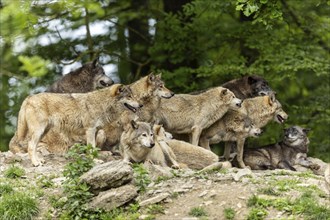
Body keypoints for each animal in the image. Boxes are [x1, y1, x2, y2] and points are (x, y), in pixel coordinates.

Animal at [13, 83, 141, 166]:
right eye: (129, 96)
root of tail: (29, 97)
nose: (141, 105)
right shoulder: (90, 130)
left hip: (43, 132)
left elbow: (94, 148)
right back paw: (35, 163)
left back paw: (39, 160)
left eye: (133, 96)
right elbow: (91, 148)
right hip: (38, 131)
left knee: (34, 147)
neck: (102, 104)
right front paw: (95, 161)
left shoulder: (96, 131)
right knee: (30, 146)